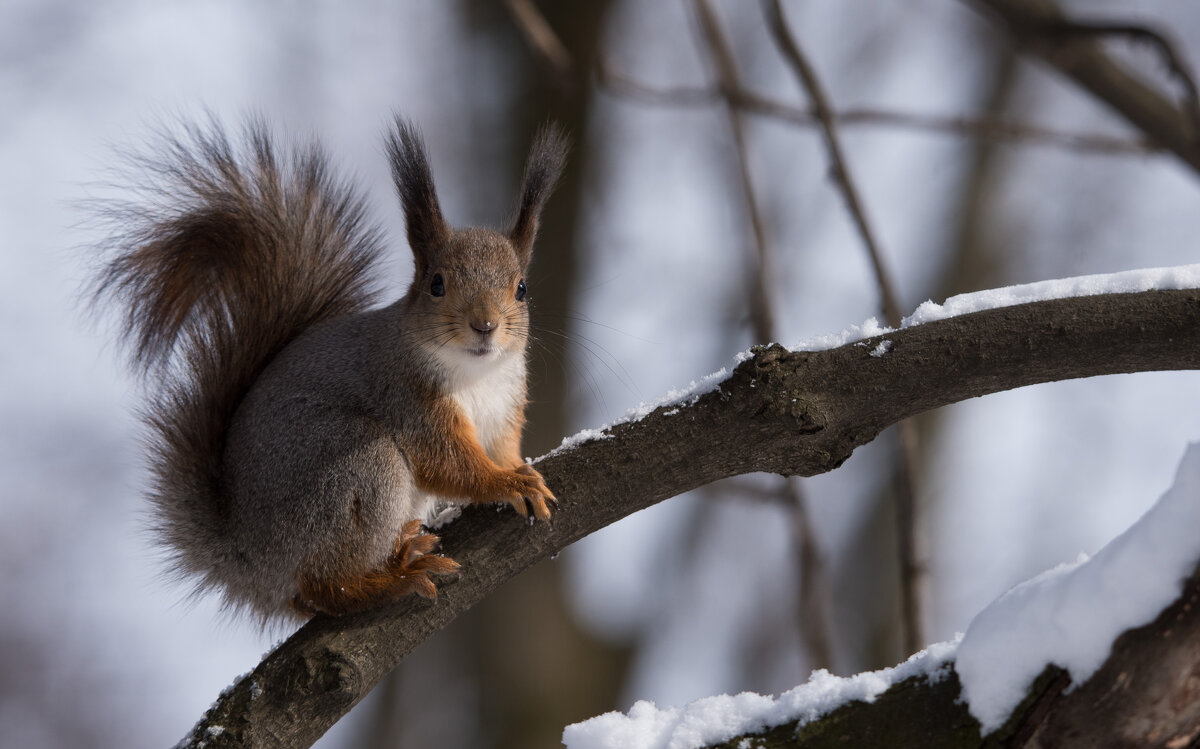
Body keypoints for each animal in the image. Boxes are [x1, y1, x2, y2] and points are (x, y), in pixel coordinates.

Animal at [91, 115, 568, 619]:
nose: (485, 325)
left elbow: (501, 447)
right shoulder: (406, 395)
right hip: (352, 471)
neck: (477, 375)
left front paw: (521, 469)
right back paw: (392, 578)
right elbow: (449, 463)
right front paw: (504, 482)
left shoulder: (504, 407)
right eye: (436, 285)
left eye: (521, 289)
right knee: (325, 585)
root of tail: (251, 560)